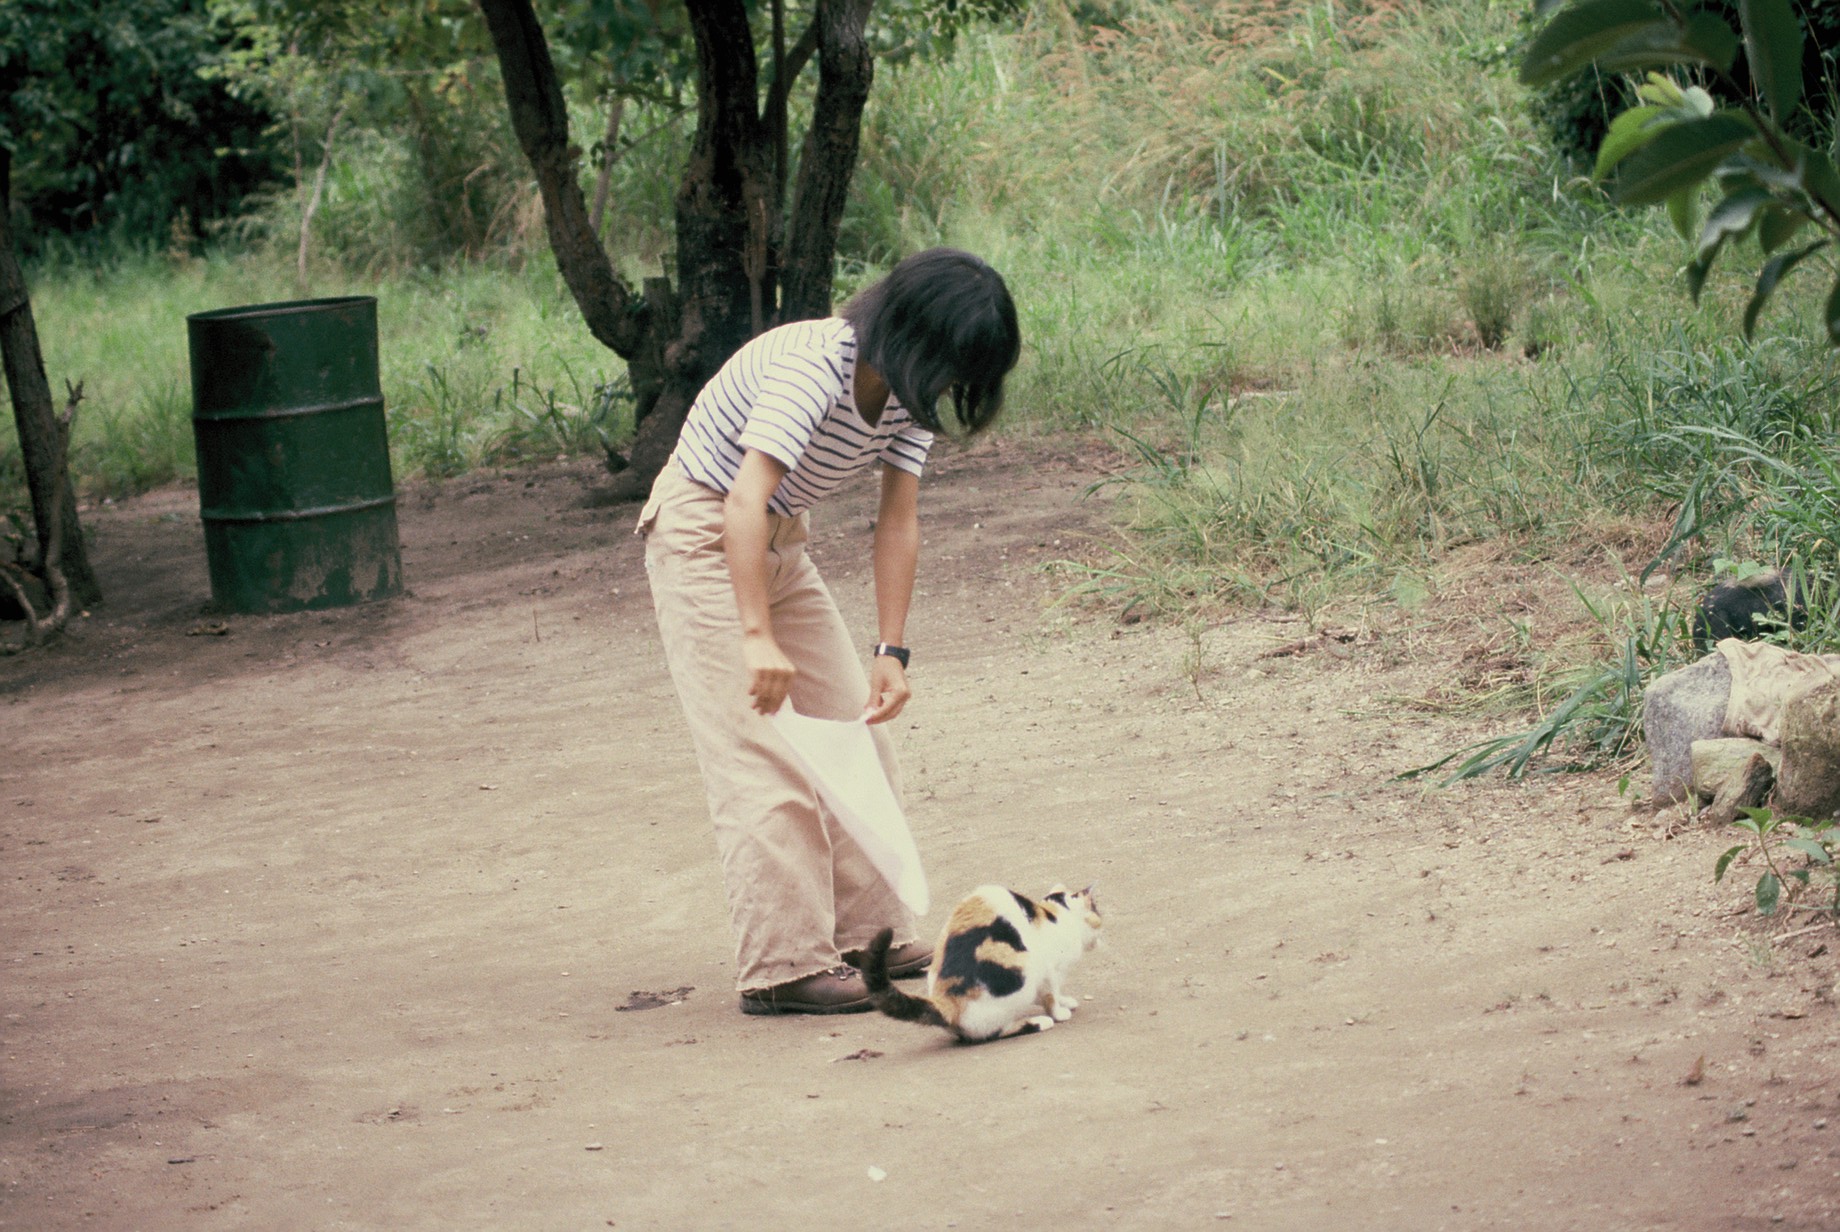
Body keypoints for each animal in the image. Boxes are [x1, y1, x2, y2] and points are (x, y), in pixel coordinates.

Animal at [864, 882, 1104, 1044]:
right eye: (1098, 914)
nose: (1101, 937)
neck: (1057, 915)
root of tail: (945, 1004)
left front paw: (1066, 1001)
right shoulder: (1049, 969)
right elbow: (1051, 994)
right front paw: (1059, 1011)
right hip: (1023, 972)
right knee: (996, 1032)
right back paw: (1040, 1022)